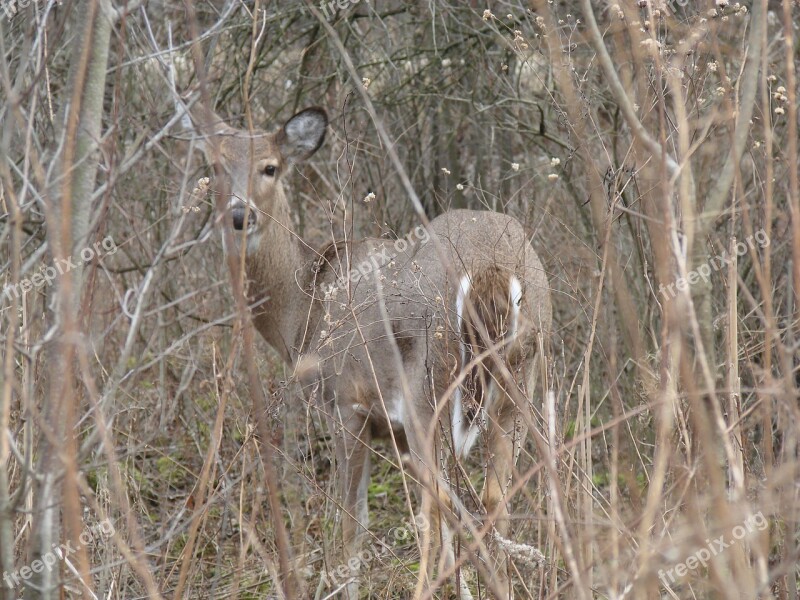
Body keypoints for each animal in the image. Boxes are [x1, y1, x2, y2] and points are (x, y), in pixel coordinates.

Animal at [180, 101, 552, 596]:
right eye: (216, 166)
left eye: (270, 167)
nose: (240, 216)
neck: (303, 311)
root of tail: (491, 266)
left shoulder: (346, 404)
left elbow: (352, 520)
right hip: (520, 381)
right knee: (493, 500)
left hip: (426, 392)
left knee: (436, 509)